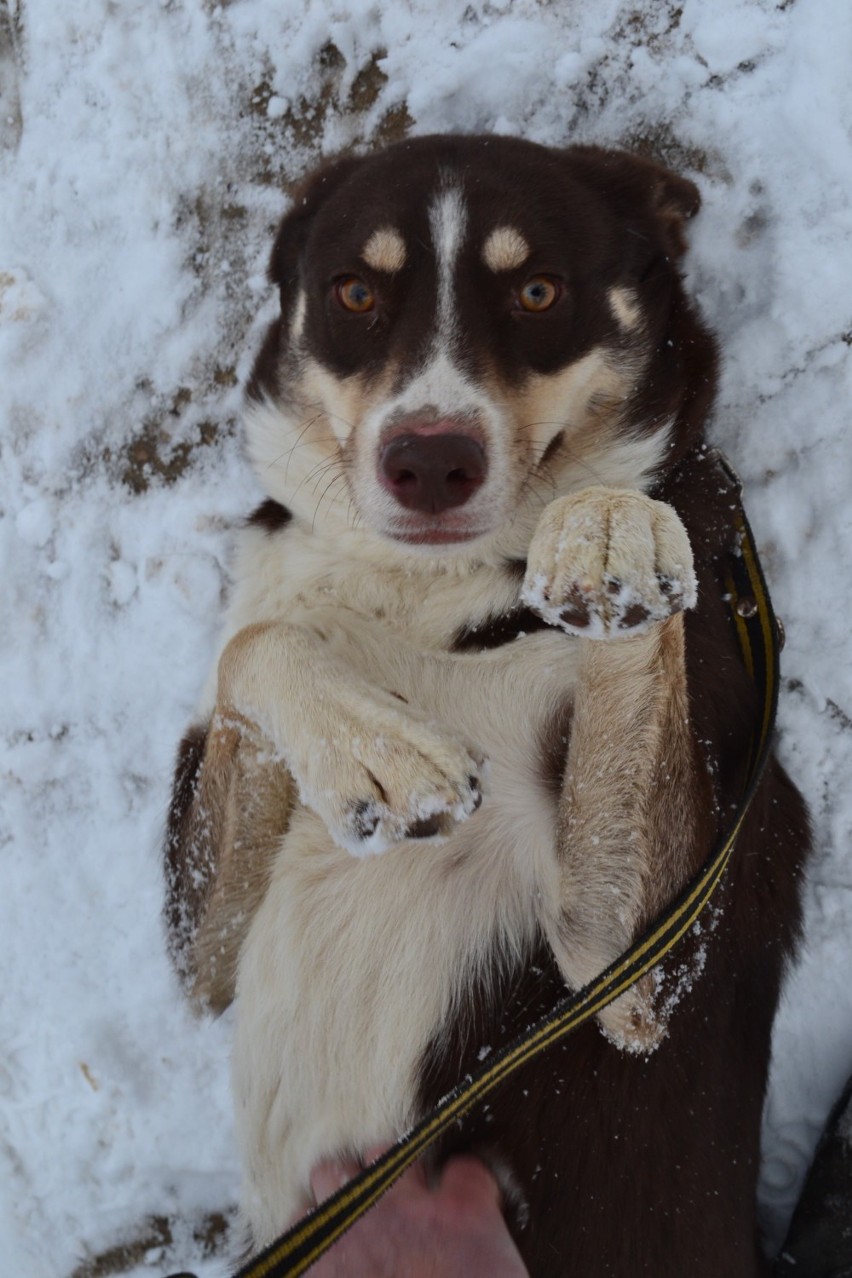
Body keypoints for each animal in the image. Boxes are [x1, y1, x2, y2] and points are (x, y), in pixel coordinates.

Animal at [164, 132, 812, 1278]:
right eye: (357, 291)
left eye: (539, 291)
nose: (429, 459)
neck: (430, 596)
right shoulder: (206, 948)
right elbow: (256, 641)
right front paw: (379, 749)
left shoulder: (630, 970)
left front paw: (608, 524)